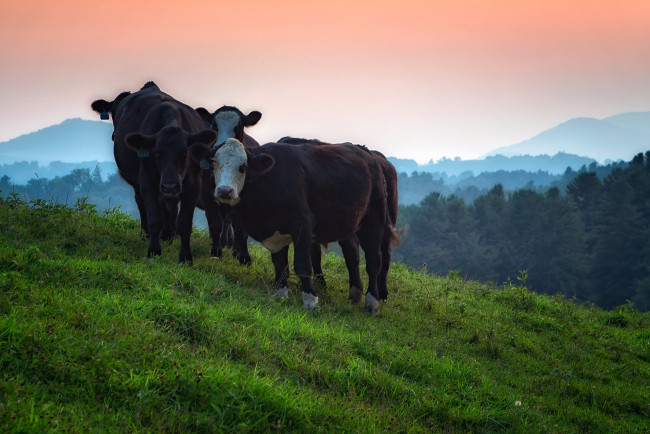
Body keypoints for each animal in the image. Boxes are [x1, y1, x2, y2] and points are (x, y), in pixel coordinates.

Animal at [90, 82, 216, 262]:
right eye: (156, 153)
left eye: (184, 152)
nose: (170, 185)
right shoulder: (148, 182)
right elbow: (155, 218)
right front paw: (154, 251)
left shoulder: (193, 185)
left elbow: (185, 223)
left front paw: (185, 257)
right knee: (143, 205)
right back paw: (149, 235)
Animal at [194, 104, 262, 264]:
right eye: (214, 125)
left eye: (239, 126)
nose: (219, 146)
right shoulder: (208, 196)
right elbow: (215, 224)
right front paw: (216, 252)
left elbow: (240, 229)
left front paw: (243, 256)